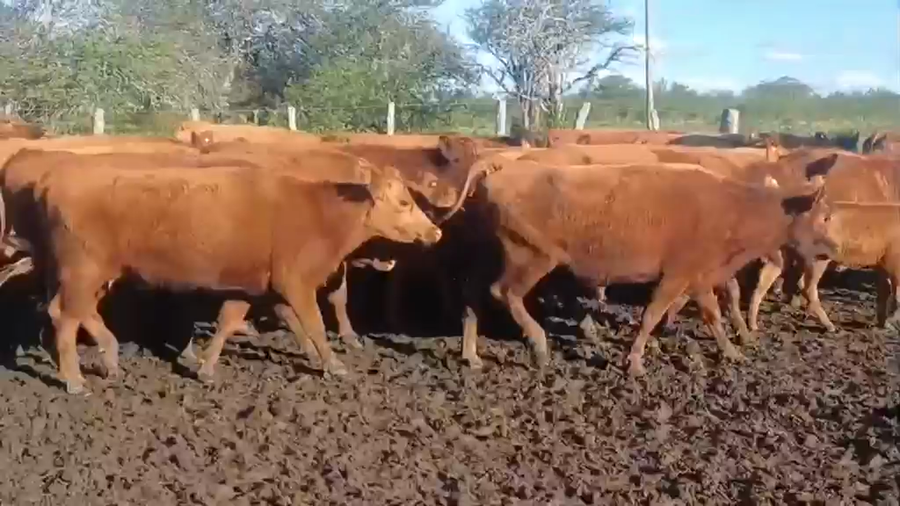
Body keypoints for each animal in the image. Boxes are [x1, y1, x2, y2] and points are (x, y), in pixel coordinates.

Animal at [32, 159, 444, 394]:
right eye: (404, 202)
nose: (436, 232)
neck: (320, 213)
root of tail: (53, 183)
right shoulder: (296, 283)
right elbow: (312, 324)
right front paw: (335, 365)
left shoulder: (251, 287)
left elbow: (229, 321)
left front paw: (206, 368)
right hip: (83, 270)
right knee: (65, 316)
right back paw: (75, 380)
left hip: (95, 274)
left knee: (76, 312)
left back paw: (111, 357)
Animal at [448, 156, 835, 375]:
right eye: (825, 217)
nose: (833, 248)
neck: (733, 207)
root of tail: (503, 167)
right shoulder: (678, 275)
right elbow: (652, 314)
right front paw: (634, 363)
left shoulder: (698, 276)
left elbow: (712, 315)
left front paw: (731, 351)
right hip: (531, 257)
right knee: (504, 293)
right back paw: (540, 346)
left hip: (495, 255)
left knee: (471, 295)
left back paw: (471, 355)